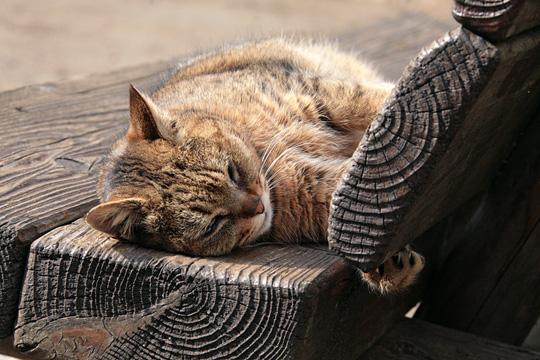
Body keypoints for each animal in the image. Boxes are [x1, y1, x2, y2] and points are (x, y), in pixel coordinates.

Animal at [85, 38, 422, 294]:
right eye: (213, 224)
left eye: (232, 171)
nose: (258, 205)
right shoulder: (315, 189)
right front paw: (387, 266)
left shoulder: (317, 93)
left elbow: (370, 99)